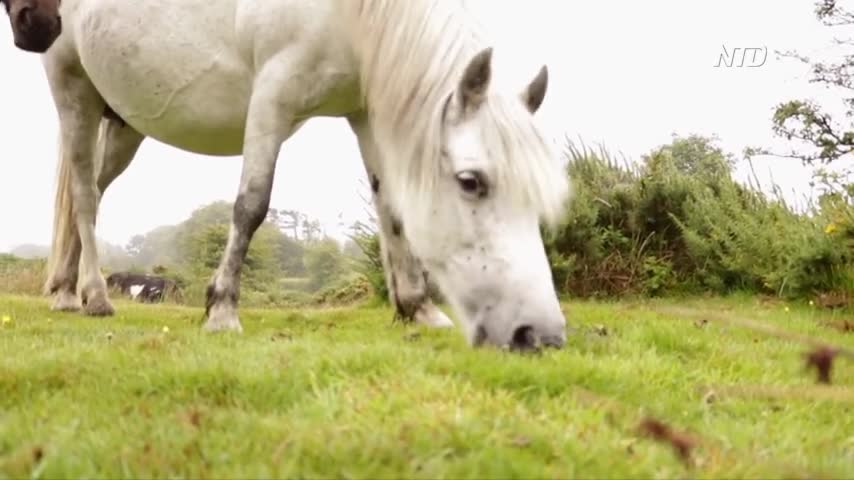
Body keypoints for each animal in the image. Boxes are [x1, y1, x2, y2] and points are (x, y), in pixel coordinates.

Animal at [10, 0, 572, 350]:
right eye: (471, 181)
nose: (537, 334)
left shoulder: (364, 113)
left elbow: (391, 210)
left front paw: (417, 309)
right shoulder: (271, 100)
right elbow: (251, 204)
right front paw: (221, 309)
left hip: (124, 125)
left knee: (90, 193)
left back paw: (65, 290)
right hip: (74, 92)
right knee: (83, 194)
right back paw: (94, 297)